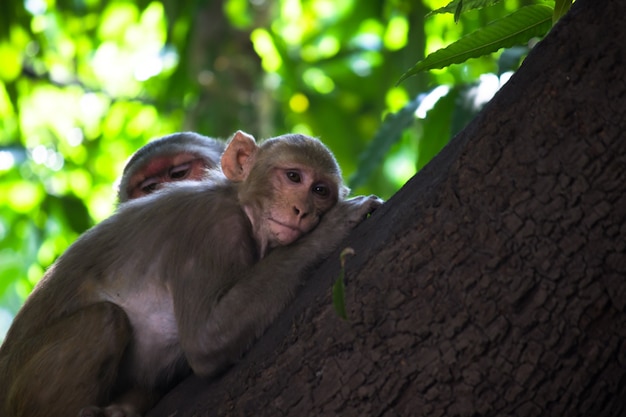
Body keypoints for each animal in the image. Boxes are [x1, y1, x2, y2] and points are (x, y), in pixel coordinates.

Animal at [0, 130, 380, 416]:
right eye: (293, 177)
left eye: (320, 191)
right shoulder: (212, 228)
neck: (243, 207)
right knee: (103, 320)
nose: (303, 211)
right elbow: (206, 339)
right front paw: (331, 228)